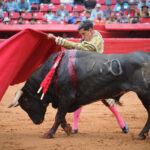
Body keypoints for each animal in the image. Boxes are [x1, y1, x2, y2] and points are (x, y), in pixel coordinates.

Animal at [9, 49, 150, 139]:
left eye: (26, 104)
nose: (37, 122)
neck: (55, 71)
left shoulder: (66, 97)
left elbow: (58, 116)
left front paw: (49, 134)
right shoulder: (65, 100)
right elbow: (61, 115)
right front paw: (68, 128)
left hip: (144, 94)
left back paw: (141, 134)